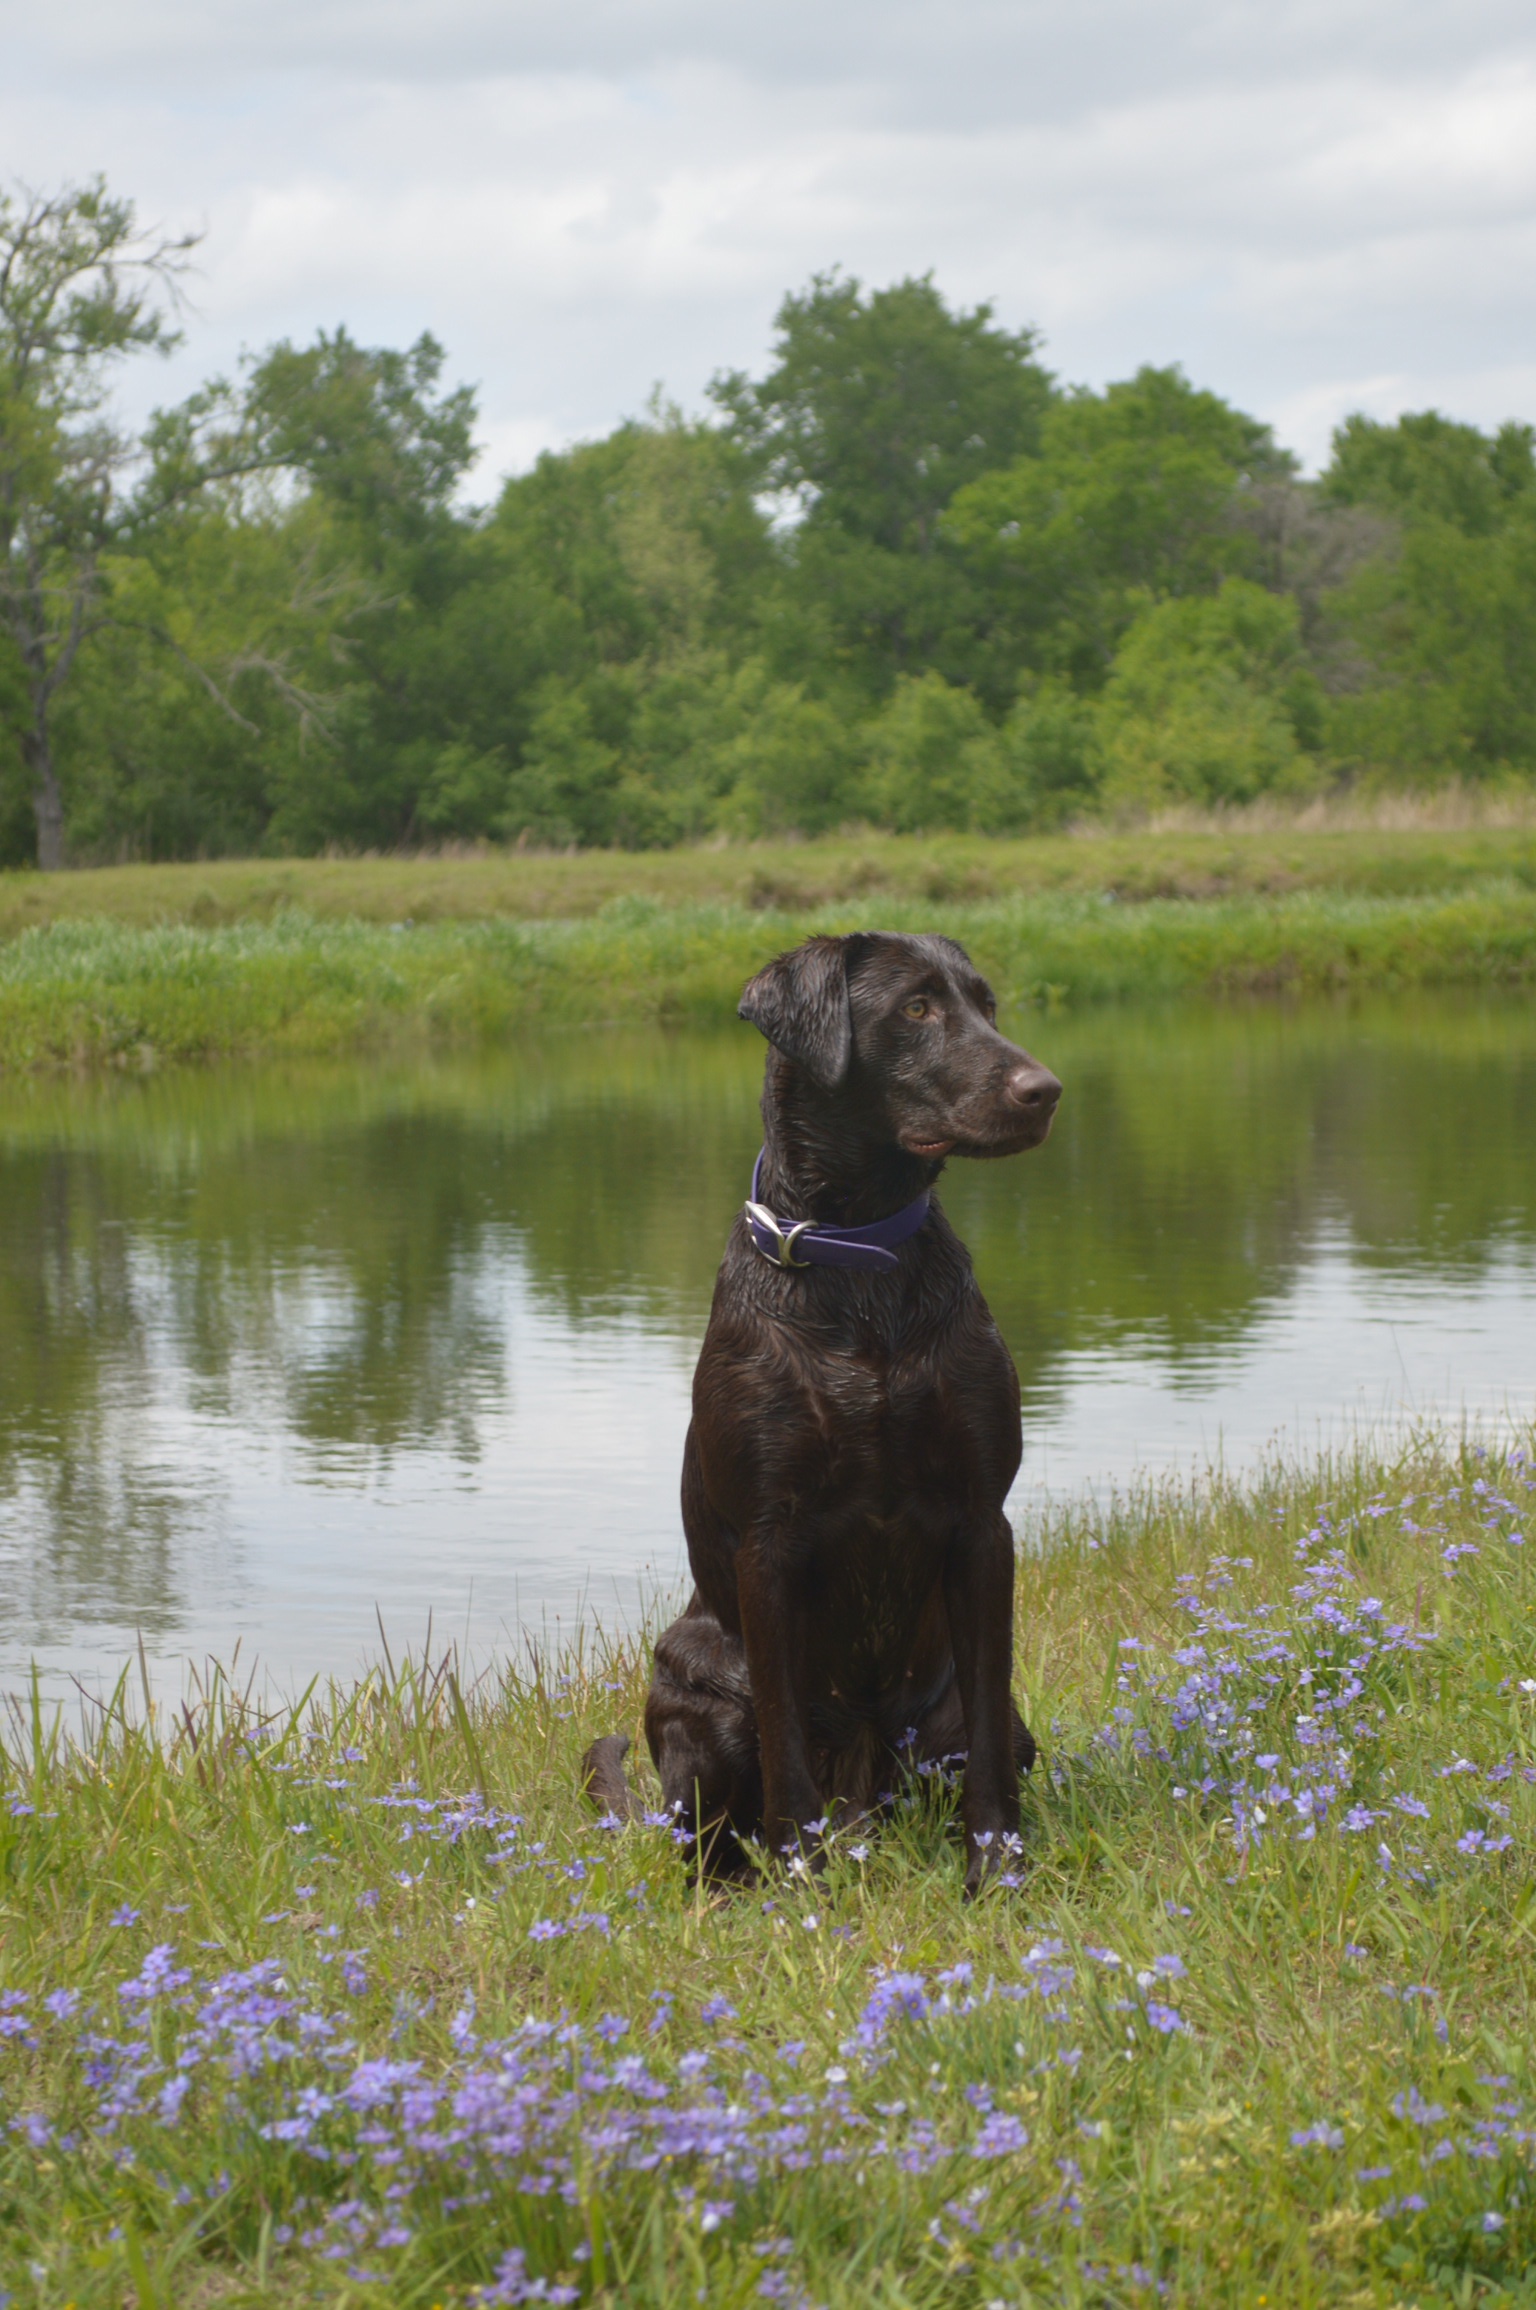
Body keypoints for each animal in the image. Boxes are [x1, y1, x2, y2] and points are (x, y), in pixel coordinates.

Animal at [582, 924, 1062, 1894]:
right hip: (691, 1692)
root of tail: (865, 1798)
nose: (1046, 1091)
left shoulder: (982, 1523)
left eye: (985, 1005)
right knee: (708, 1840)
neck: (859, 1258)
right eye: (915, 1007)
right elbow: (786, 1749)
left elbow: (990, 1744)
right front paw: (803, 1890)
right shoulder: (771, 1541)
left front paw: (997, 1873)